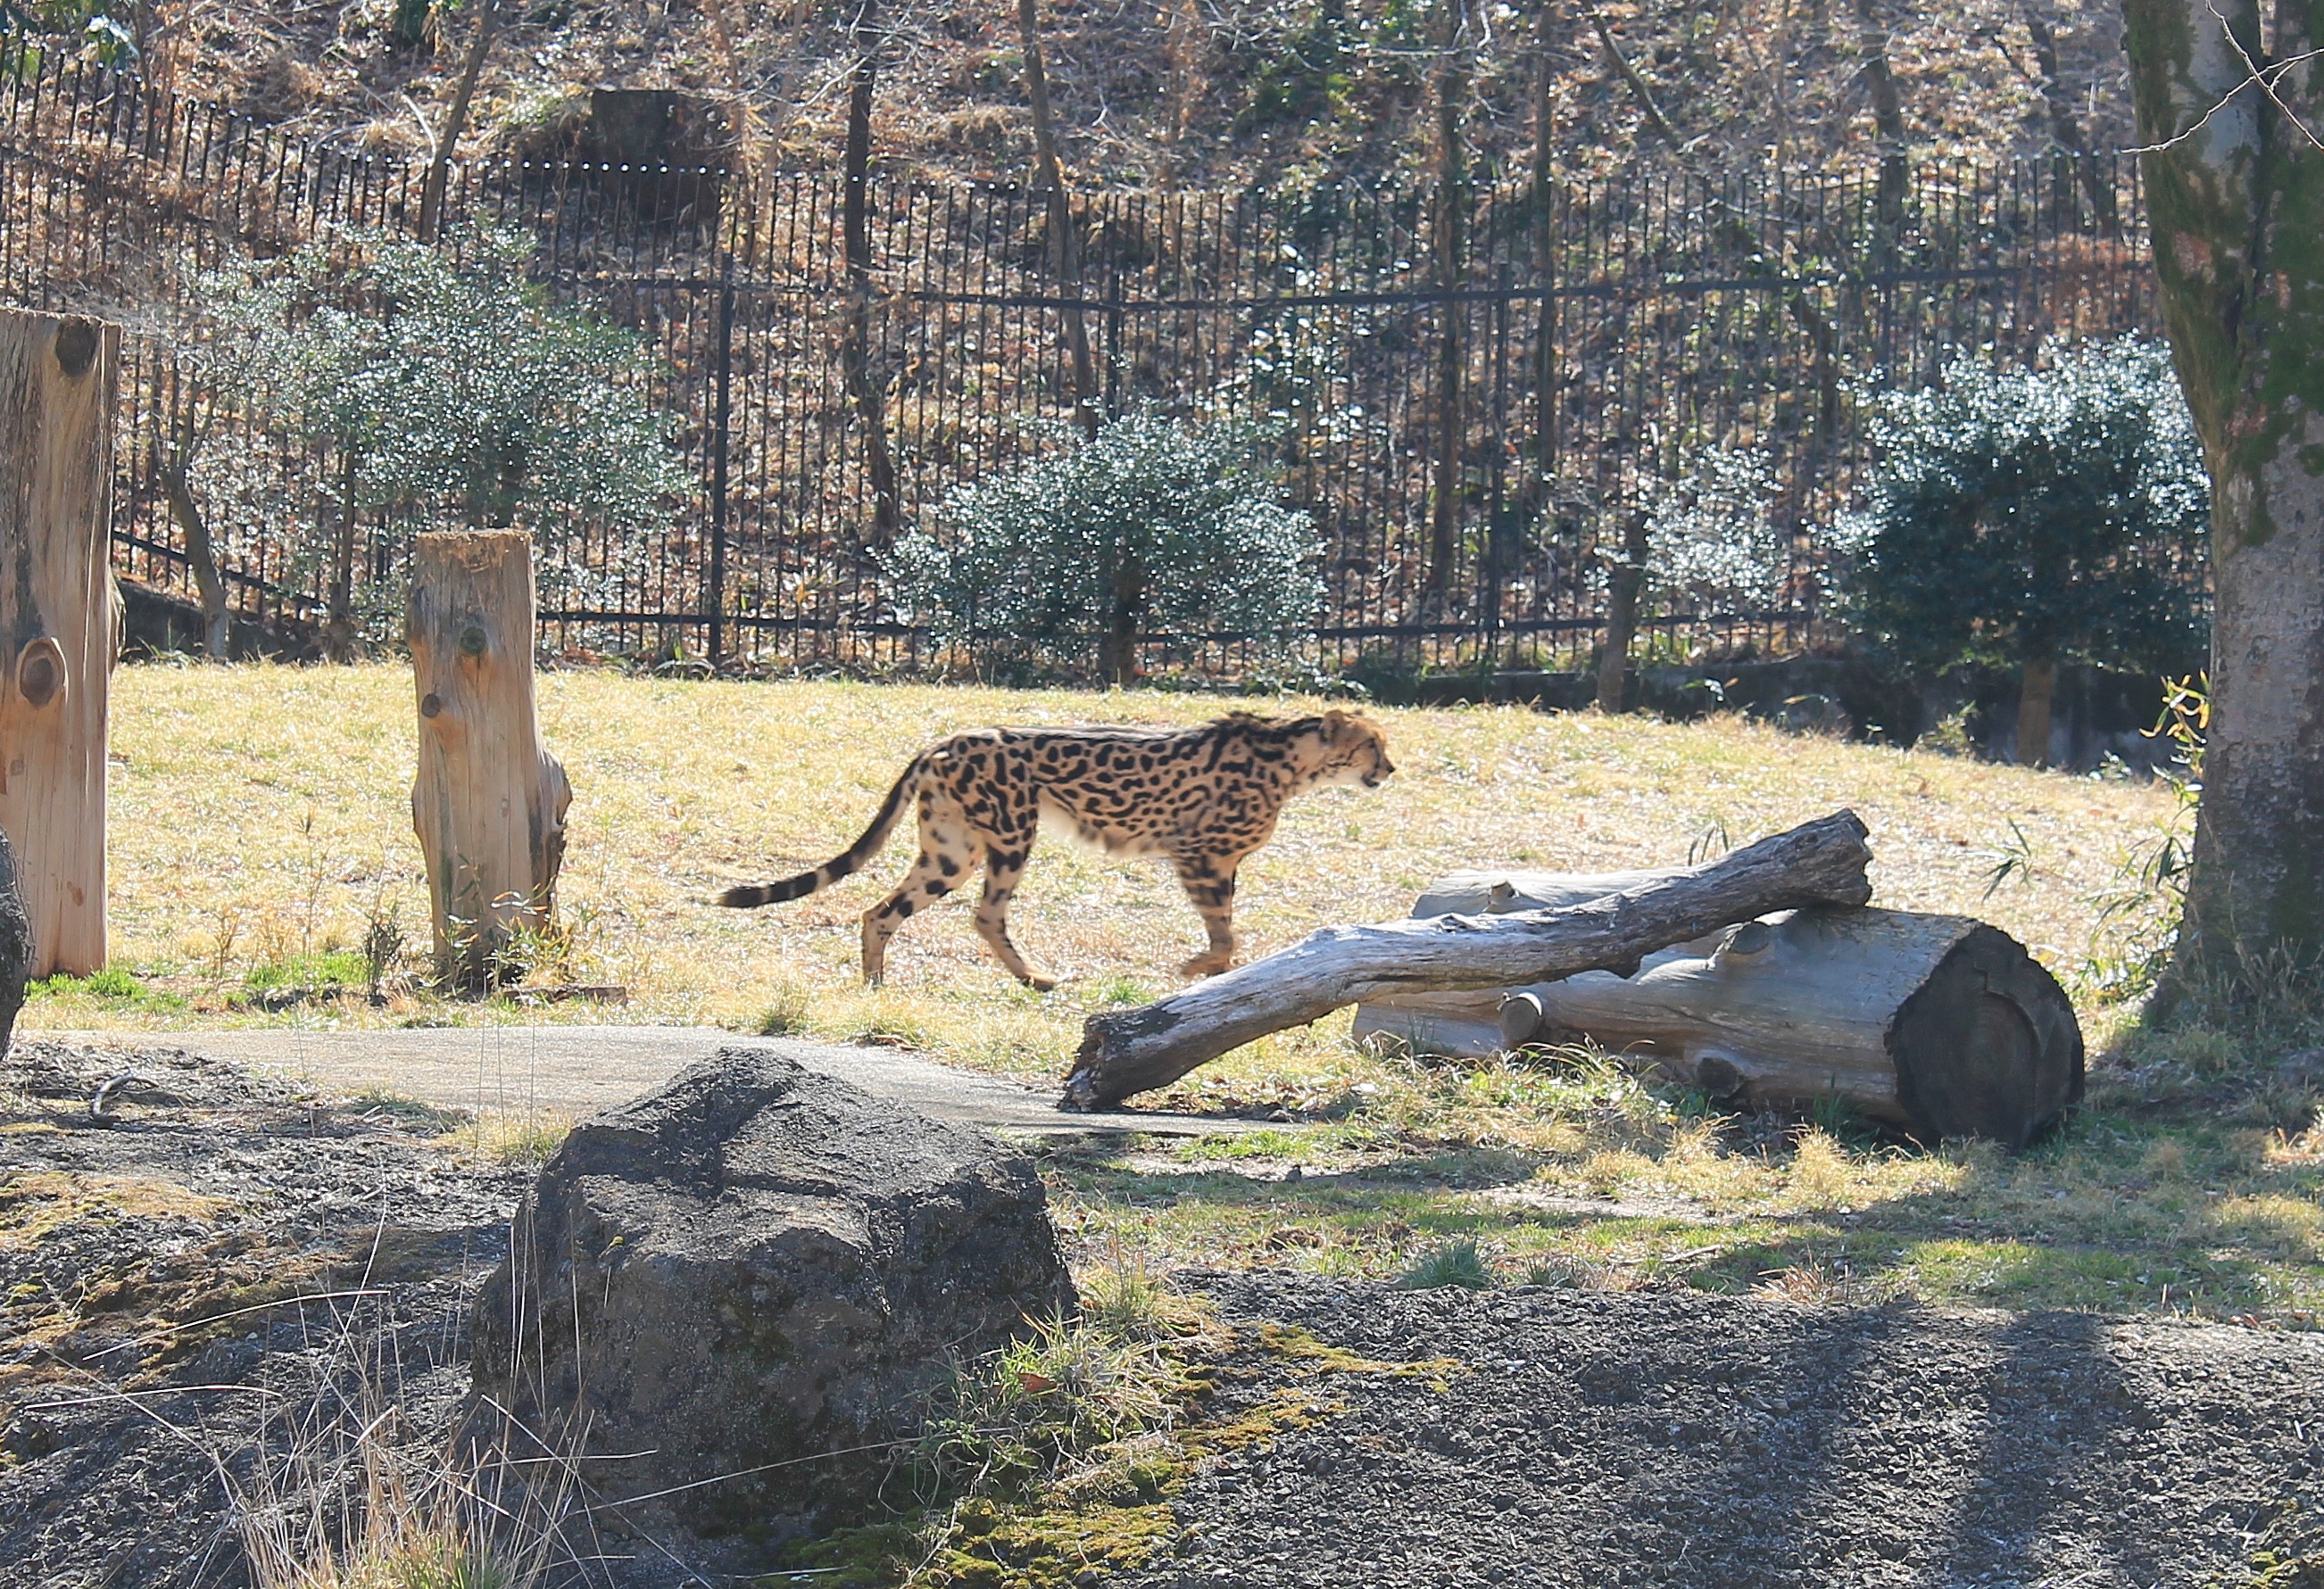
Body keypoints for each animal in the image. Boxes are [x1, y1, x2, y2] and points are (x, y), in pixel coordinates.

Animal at [716, 709, 1396, 989]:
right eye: (1372, 743)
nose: (1390, 768)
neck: (1291, 757)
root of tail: (948, 738)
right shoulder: (1200, 856)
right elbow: (1226, 938)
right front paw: (1195, 973)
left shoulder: (1210, 862)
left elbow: (1228, 939)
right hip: (1013, 832)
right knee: (985, 913)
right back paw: (1033, 975)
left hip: (952, 851)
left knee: (880, 911)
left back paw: (877, 984)